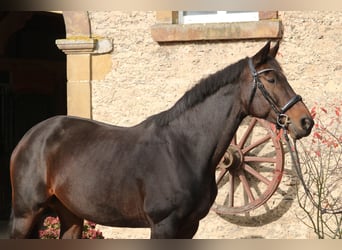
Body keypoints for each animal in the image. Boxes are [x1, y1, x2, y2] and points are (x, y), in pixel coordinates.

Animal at [8, 42, 312, 239]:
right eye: (271, 78)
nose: (305, 122)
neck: (184, 149)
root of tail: (31, 137)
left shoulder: (189, 228)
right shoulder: (164, 225)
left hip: (70, 216)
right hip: (26, 214)